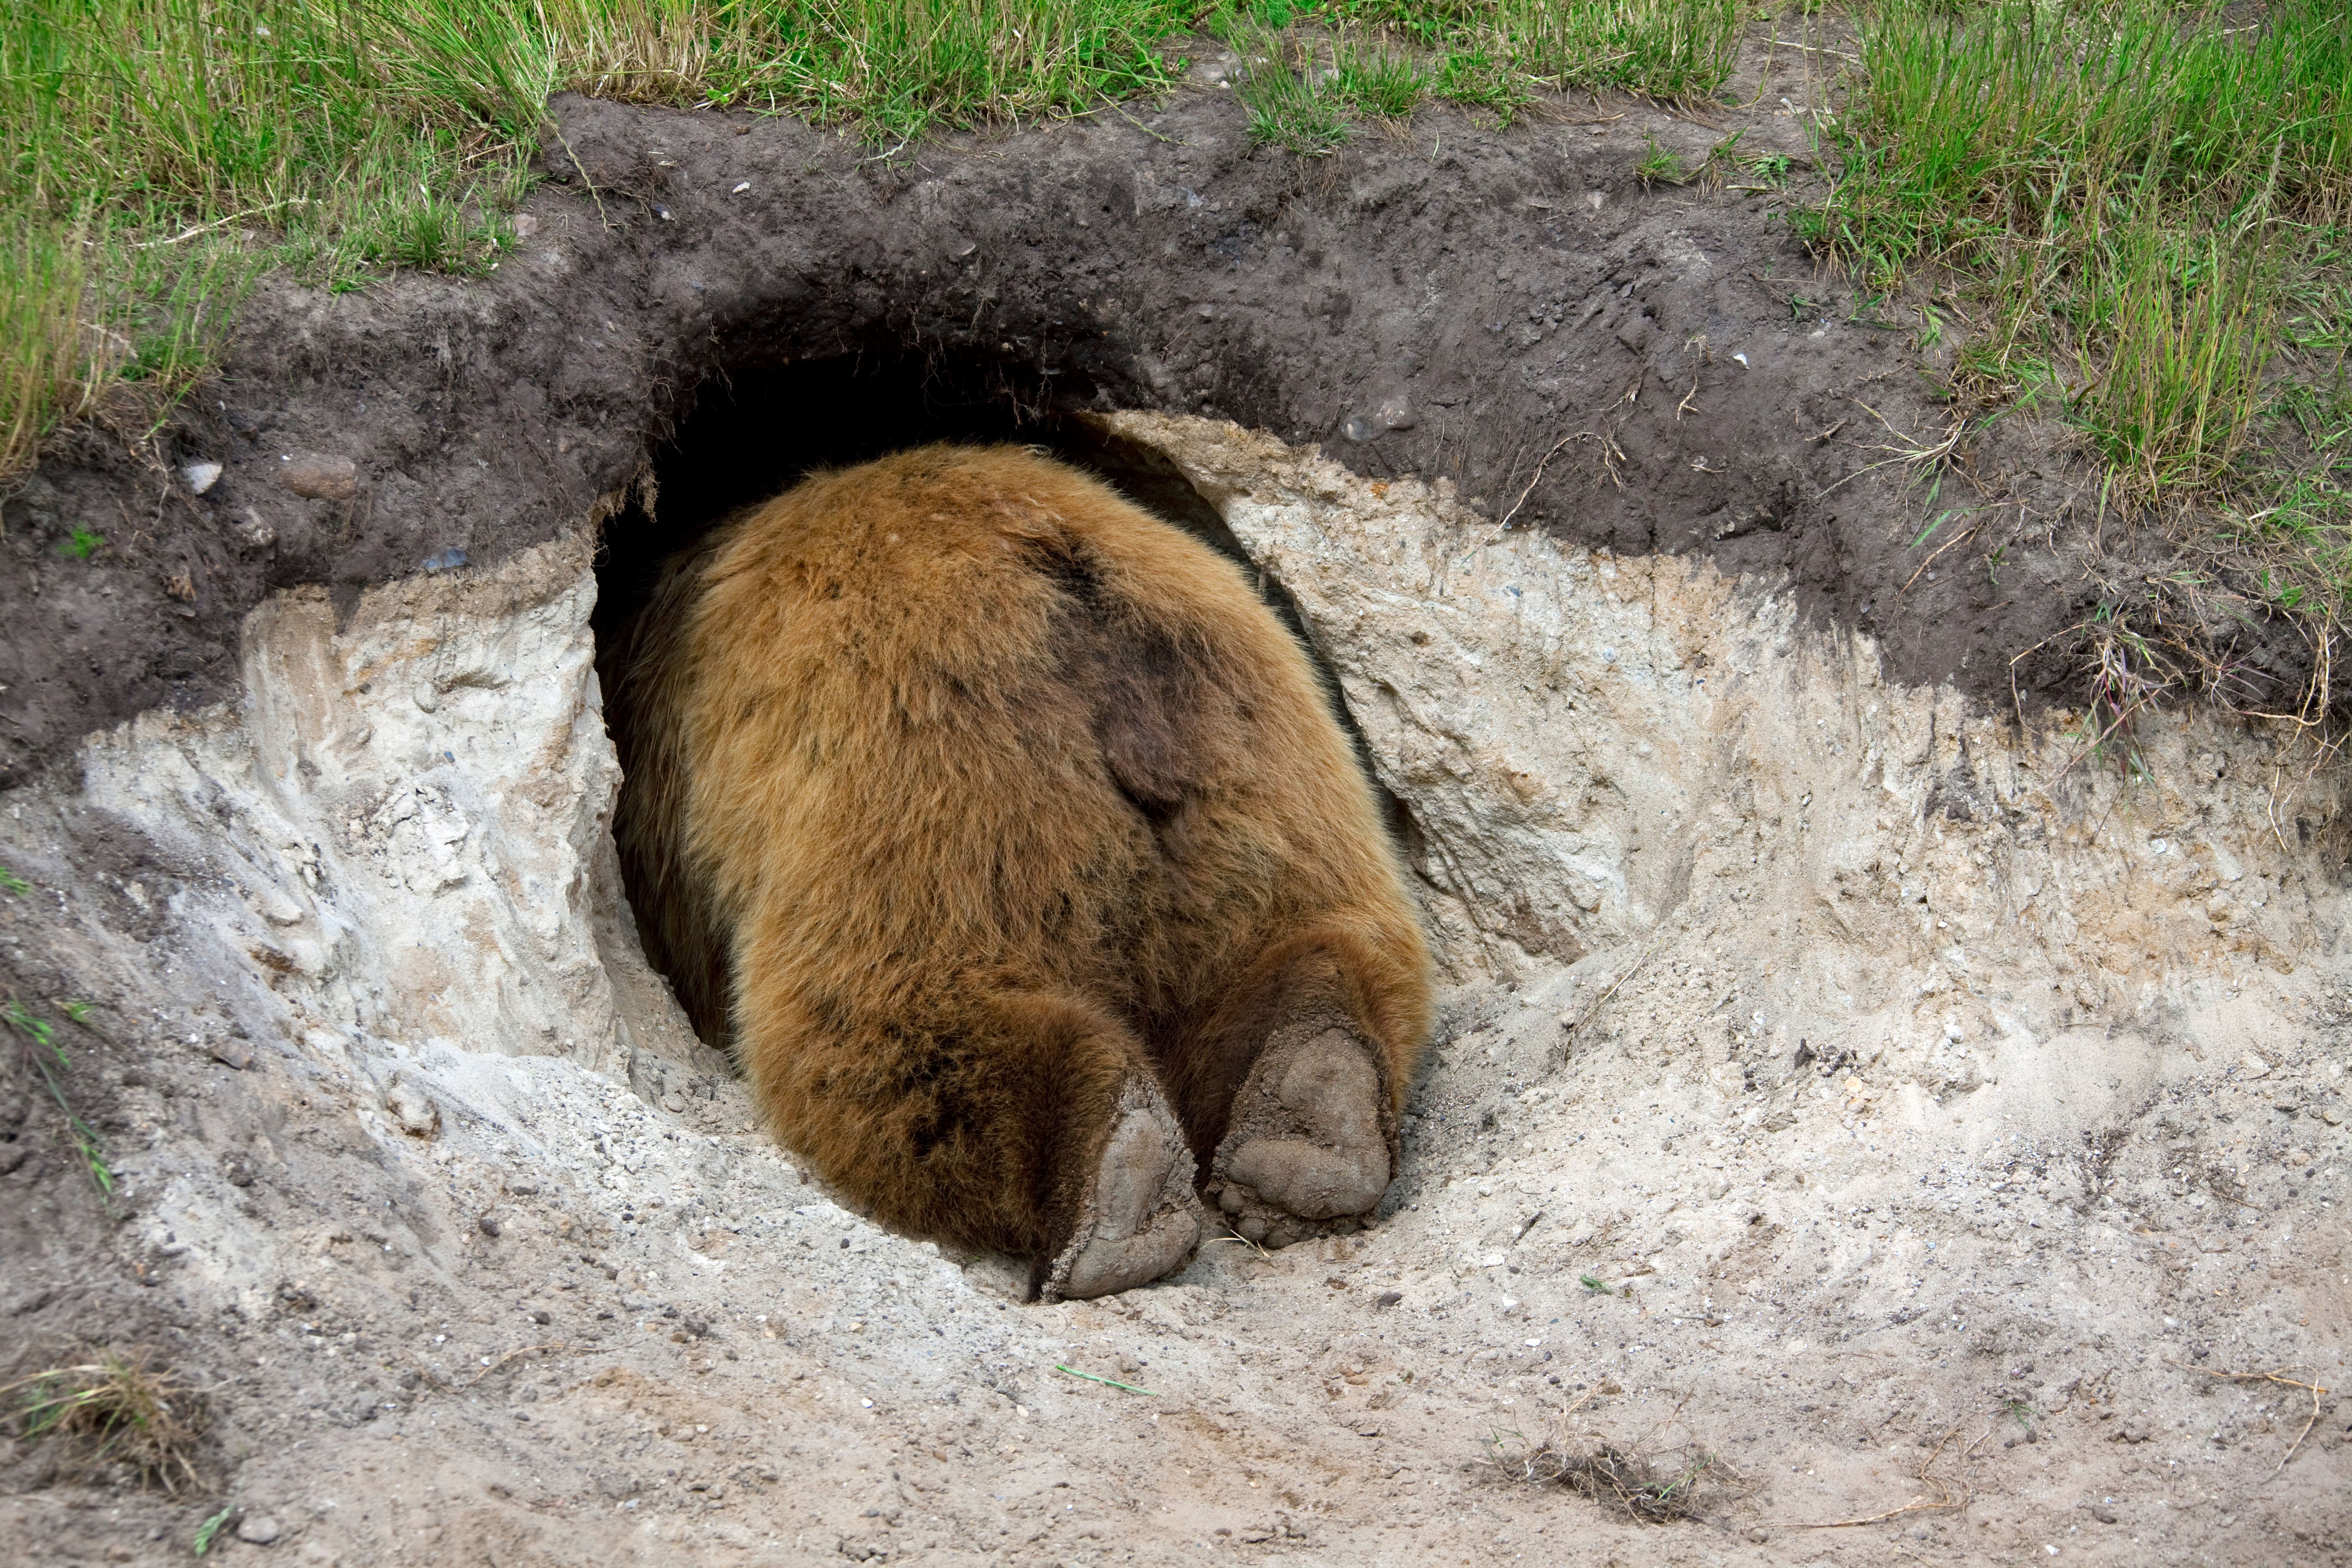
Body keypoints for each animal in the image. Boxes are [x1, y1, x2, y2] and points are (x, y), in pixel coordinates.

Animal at [602, 442, 1430, 1297]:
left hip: (928, 778)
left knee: (882, 1021)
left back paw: (1119, 1181)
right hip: (1265, 777)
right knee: (1310, 936)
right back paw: (1310, 1113)